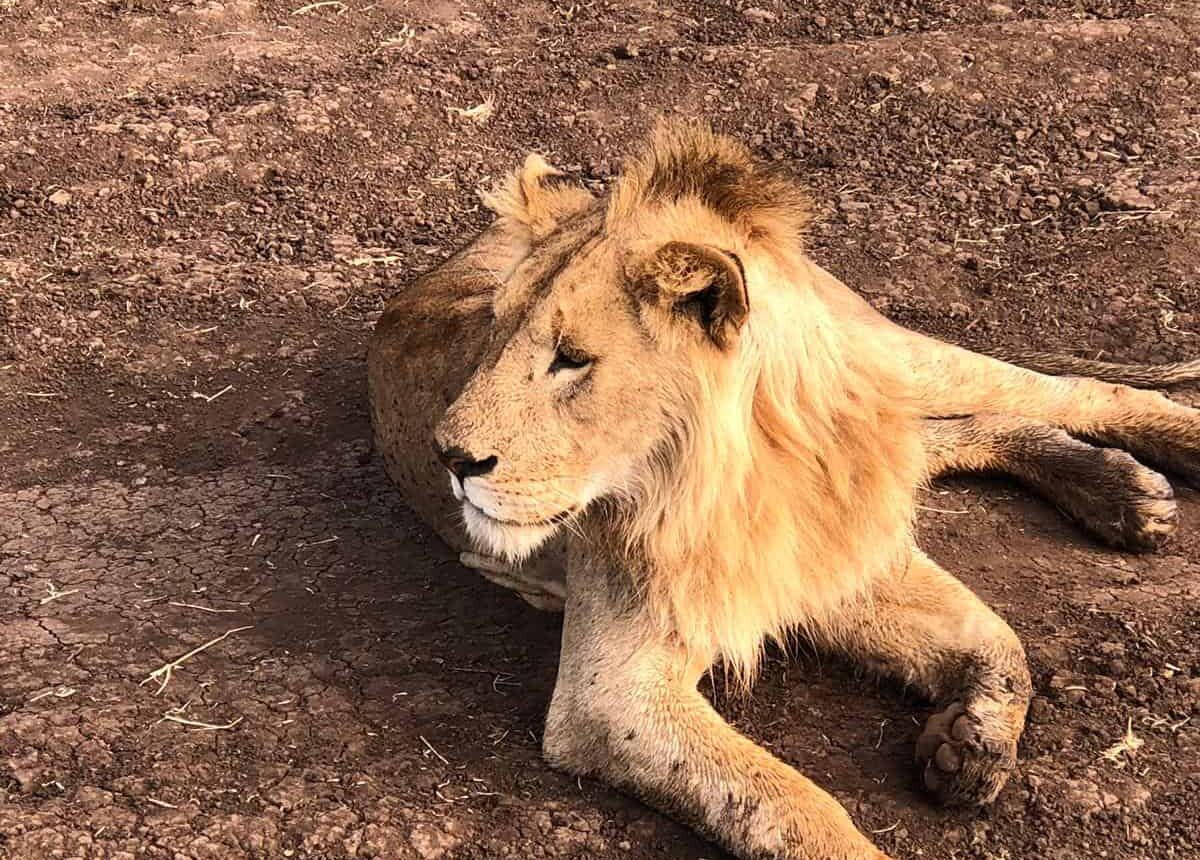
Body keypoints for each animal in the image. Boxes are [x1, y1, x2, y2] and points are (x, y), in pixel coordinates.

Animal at [367, 120, 1200, 858]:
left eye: (572, 358)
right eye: (491, 332)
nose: (450, 456)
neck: (760, 469)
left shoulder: (840, 544)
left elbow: (994, 636)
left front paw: (972, 742)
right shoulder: (612, 694)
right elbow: (796, 803)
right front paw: (966, 744)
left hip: (895, 359)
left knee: (1058, 390)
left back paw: (1154, 461)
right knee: (957, 431)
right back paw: (1122, 493)